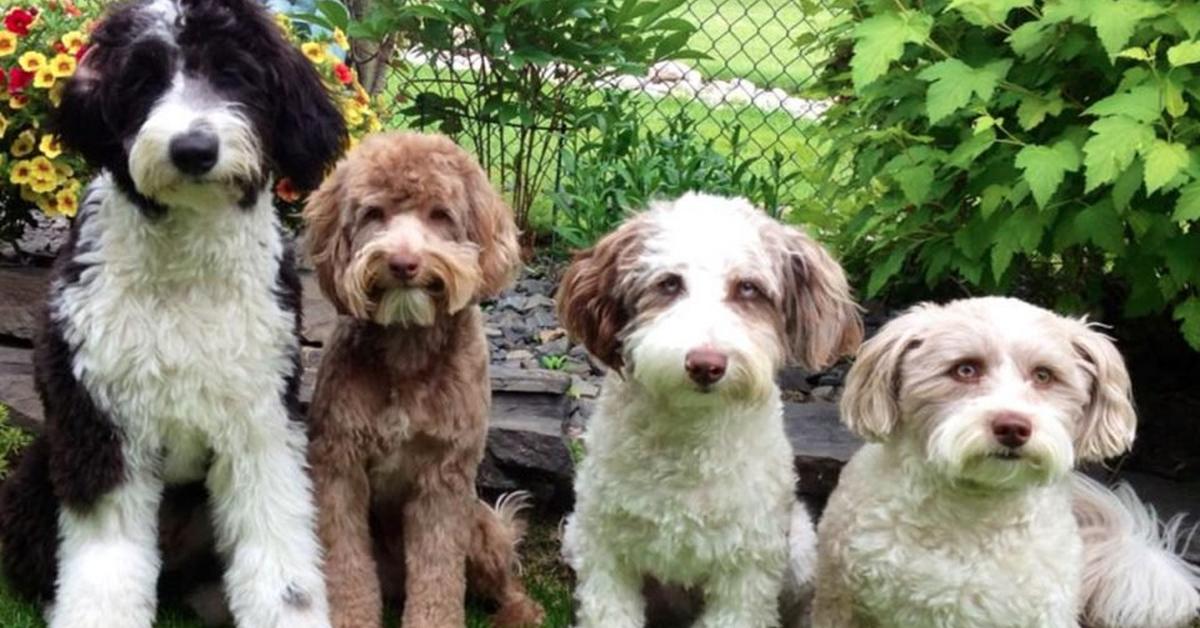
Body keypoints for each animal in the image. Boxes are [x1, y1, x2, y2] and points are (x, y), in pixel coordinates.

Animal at [1, 1, 348, 628]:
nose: (193, 150)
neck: (187, 269)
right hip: (37, 481)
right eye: (143, 78)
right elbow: (106, 561)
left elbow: (278, 547)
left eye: (235, 72)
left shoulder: (261, 419)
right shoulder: (101, 425)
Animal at [302, 132, 547, 628]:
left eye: (440, 215)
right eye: (374, 213)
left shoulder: (445, 477)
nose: (402, 263)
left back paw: (519, 611)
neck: (406, 343)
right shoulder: (339, 465)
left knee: (501, 576)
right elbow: (345, 564)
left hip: (481, 524)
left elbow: (438, 574)